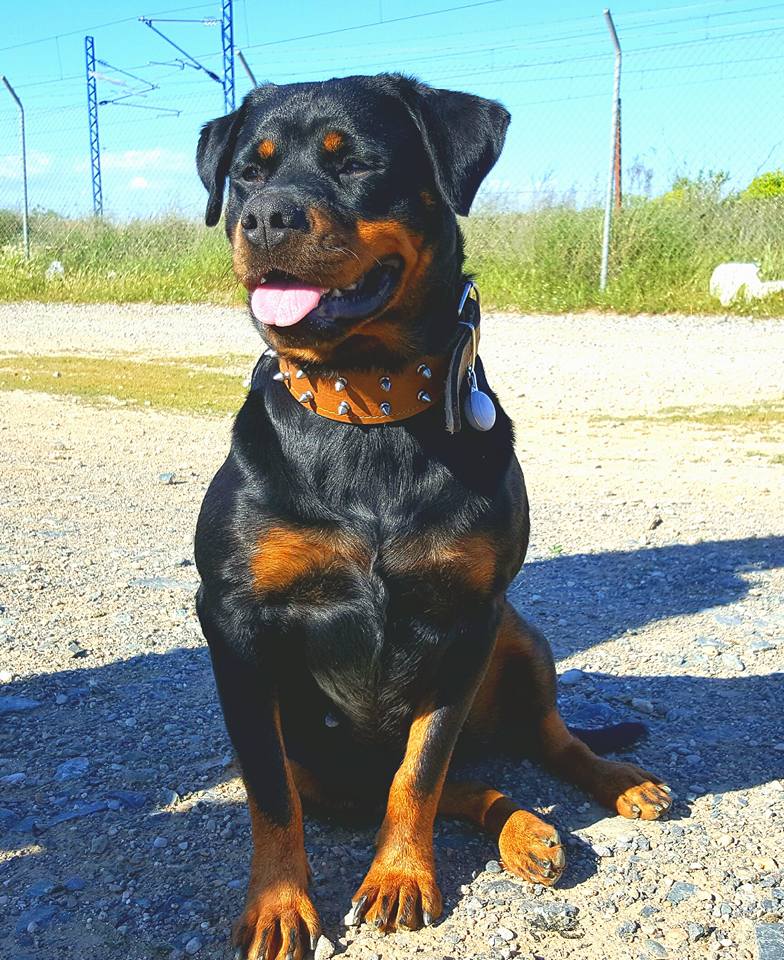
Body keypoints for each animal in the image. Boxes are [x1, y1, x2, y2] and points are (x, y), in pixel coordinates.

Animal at [193, 75, 672, 960]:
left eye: (356, 163)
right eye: (248, 172)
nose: (266, 217)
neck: (368, 409)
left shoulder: (469, 618)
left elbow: (421, 768)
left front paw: (400, 876)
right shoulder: (235, 624)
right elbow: (273, 793)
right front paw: (279, 903)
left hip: (522, 637)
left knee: (538, 741)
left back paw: (607, 788)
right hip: (333, 758)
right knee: (447, 779)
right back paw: (527, 829)